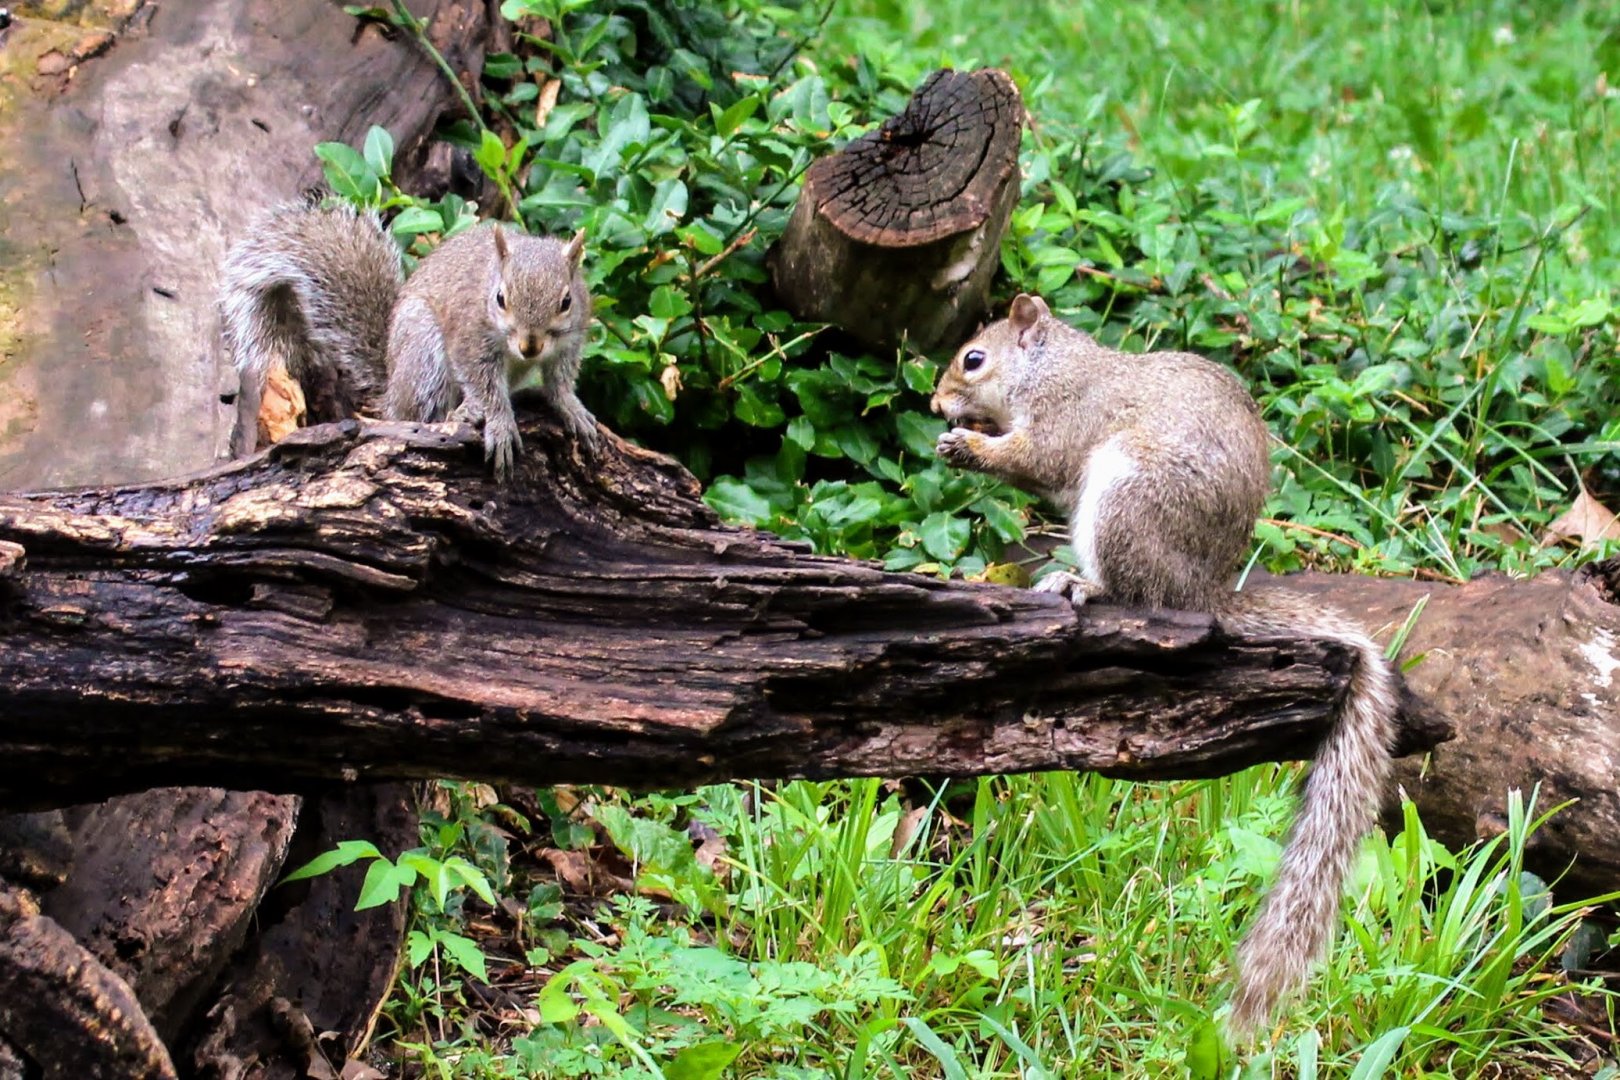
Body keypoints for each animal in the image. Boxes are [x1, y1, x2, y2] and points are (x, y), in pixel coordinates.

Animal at [220, 197, 595, 479]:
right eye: (501, 298)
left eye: (566, 301)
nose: (530, 346)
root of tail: (391, 390)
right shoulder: (470, 340)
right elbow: (485, 385)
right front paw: (500, 423)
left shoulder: (570, 341)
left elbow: (560, 380)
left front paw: (572, 408)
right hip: (424, 351)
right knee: (424, 415)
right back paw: (461, 413)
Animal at [931, 293, 1396, 1035]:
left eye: (974, 359)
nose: (936, 402)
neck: (1056, 370)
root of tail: (1202, 591)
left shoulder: (1069, 421)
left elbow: (1037, 459)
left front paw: (969, 447)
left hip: (1126, 499)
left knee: (1138, 591)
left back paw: (1084, 586)